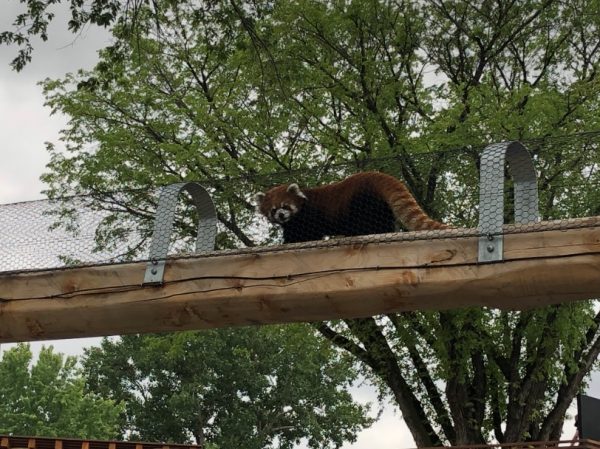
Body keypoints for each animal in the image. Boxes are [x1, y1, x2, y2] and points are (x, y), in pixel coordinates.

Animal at [255, 171, 448, 242]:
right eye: (273, 210)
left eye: (285, 206)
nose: (281, 215)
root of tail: (374, 175)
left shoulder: (309, 217)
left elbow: (305, 234)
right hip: (380, 206)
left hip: (362, 202)